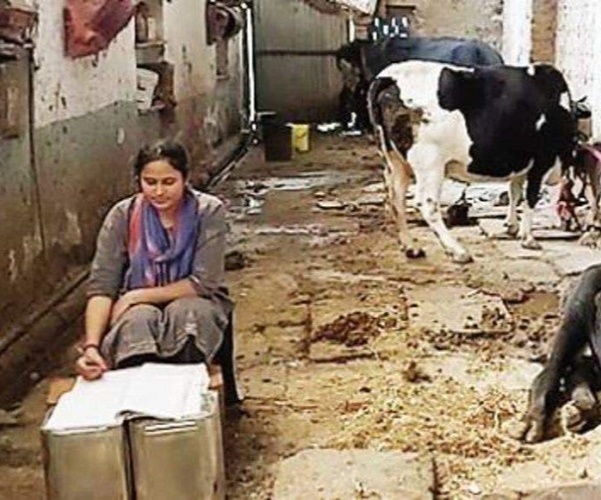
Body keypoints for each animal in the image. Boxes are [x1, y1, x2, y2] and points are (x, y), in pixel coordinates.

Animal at [368, 60, 576, 264]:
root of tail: (389, 76)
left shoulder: (521, 163)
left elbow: (514, 191)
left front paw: (511, 225)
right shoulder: (542, 160)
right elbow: (530, 197)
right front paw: (528, 239)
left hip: (395, 161)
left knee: (396, 200)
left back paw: (411, 247)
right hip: (430, 163)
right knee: (426, 204)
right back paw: (458, 251)